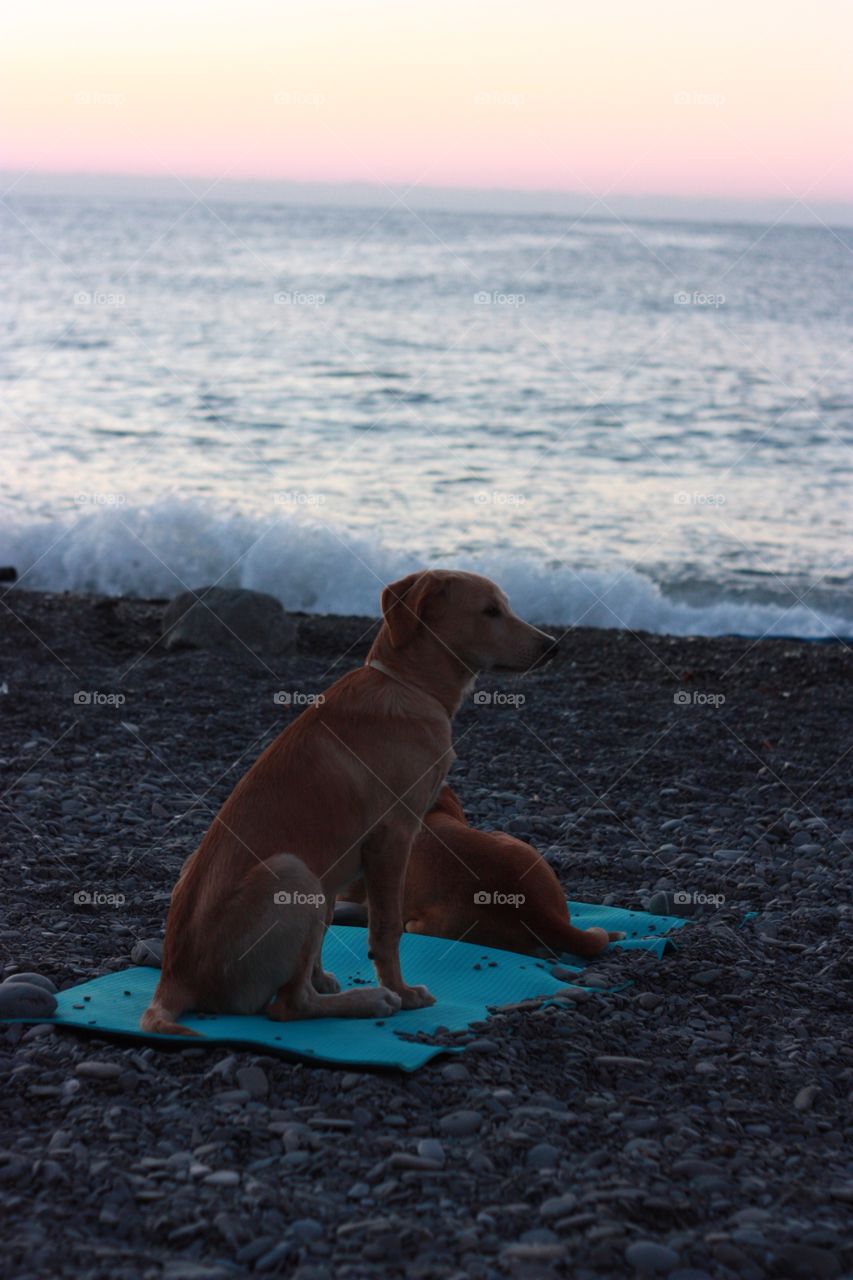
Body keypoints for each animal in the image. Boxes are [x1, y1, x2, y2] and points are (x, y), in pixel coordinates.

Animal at [140, 570, 550, 1029]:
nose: (553, 646)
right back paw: (370, 1000)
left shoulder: (341, 865)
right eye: (490, 611)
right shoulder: (394, 837)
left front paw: (324, 977)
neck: (409, 685)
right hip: (292, 874)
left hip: (294, 879)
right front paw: (402, 992)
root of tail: (174, 979)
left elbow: (326, 931)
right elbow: (386, 930)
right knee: (288, 1006)